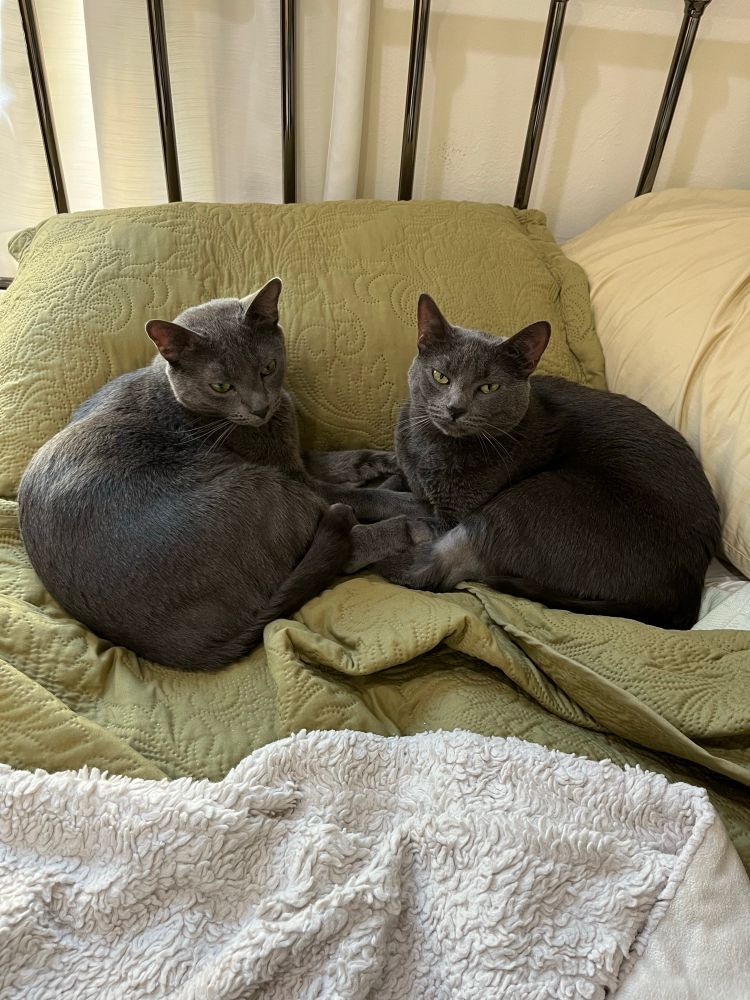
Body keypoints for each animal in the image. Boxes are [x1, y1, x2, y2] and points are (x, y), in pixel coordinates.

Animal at [18, 279, 426, 670]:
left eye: (267, 368)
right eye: (221, 386)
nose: (260, 407)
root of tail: (175, 649)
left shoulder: (295, 459)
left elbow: (346, 459)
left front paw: (391, 463)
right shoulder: (293, 476)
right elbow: (363, 495)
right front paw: (408, 500)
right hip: (261, 492)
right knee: (348, 547)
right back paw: (412, 527)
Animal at [374, 294, 721, 629]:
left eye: (489, 387)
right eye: (440, 376)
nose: (455, 408)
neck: (431, 446)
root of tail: (684, 596)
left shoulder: (452, 513)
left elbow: (403, 507)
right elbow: (397, 482)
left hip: (529, 501)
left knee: (437, 568)